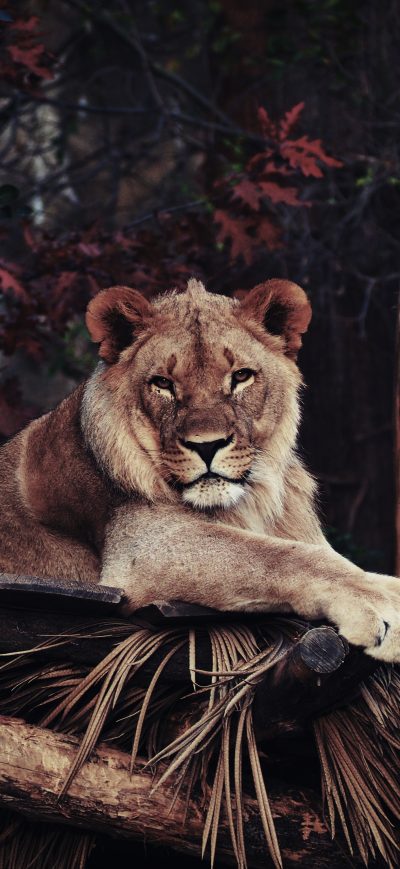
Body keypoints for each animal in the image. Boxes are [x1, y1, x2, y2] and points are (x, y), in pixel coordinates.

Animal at [0, 277, 399, 662]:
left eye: (241, 376)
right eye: (163, 383)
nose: (206, 445)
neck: (249, 500)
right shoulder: (140, 548)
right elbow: (279, 556)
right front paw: (381, 608)